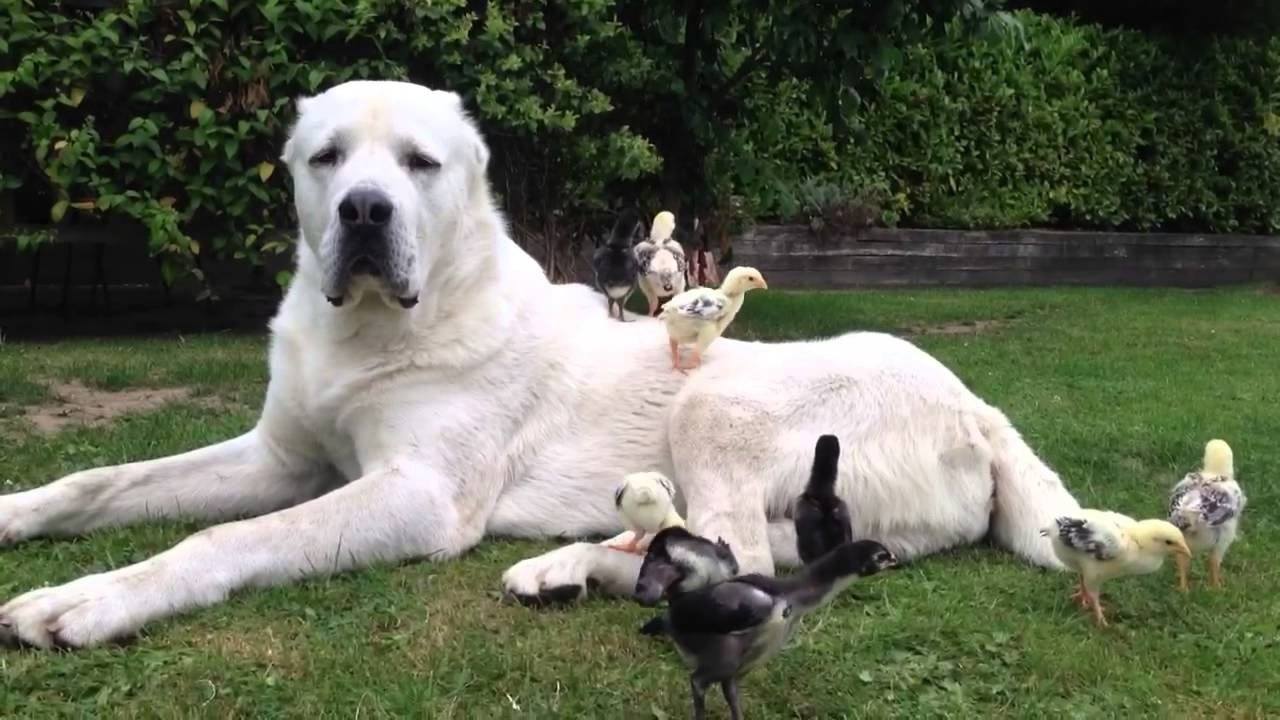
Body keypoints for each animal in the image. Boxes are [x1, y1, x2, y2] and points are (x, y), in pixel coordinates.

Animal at [0, 81, 1080, 648]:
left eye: (419, 164)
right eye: (327, 157)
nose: (364, 212)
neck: (376, 328)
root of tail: (978, 407)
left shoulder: (417, 496)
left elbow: (222, 539)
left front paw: (90, 599)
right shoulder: (279, 459)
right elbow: (100, 481)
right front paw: (17, 514)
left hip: (717, 399)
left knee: (743, 552)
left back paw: (581, 566)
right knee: (740, 552)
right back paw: (578, 565)